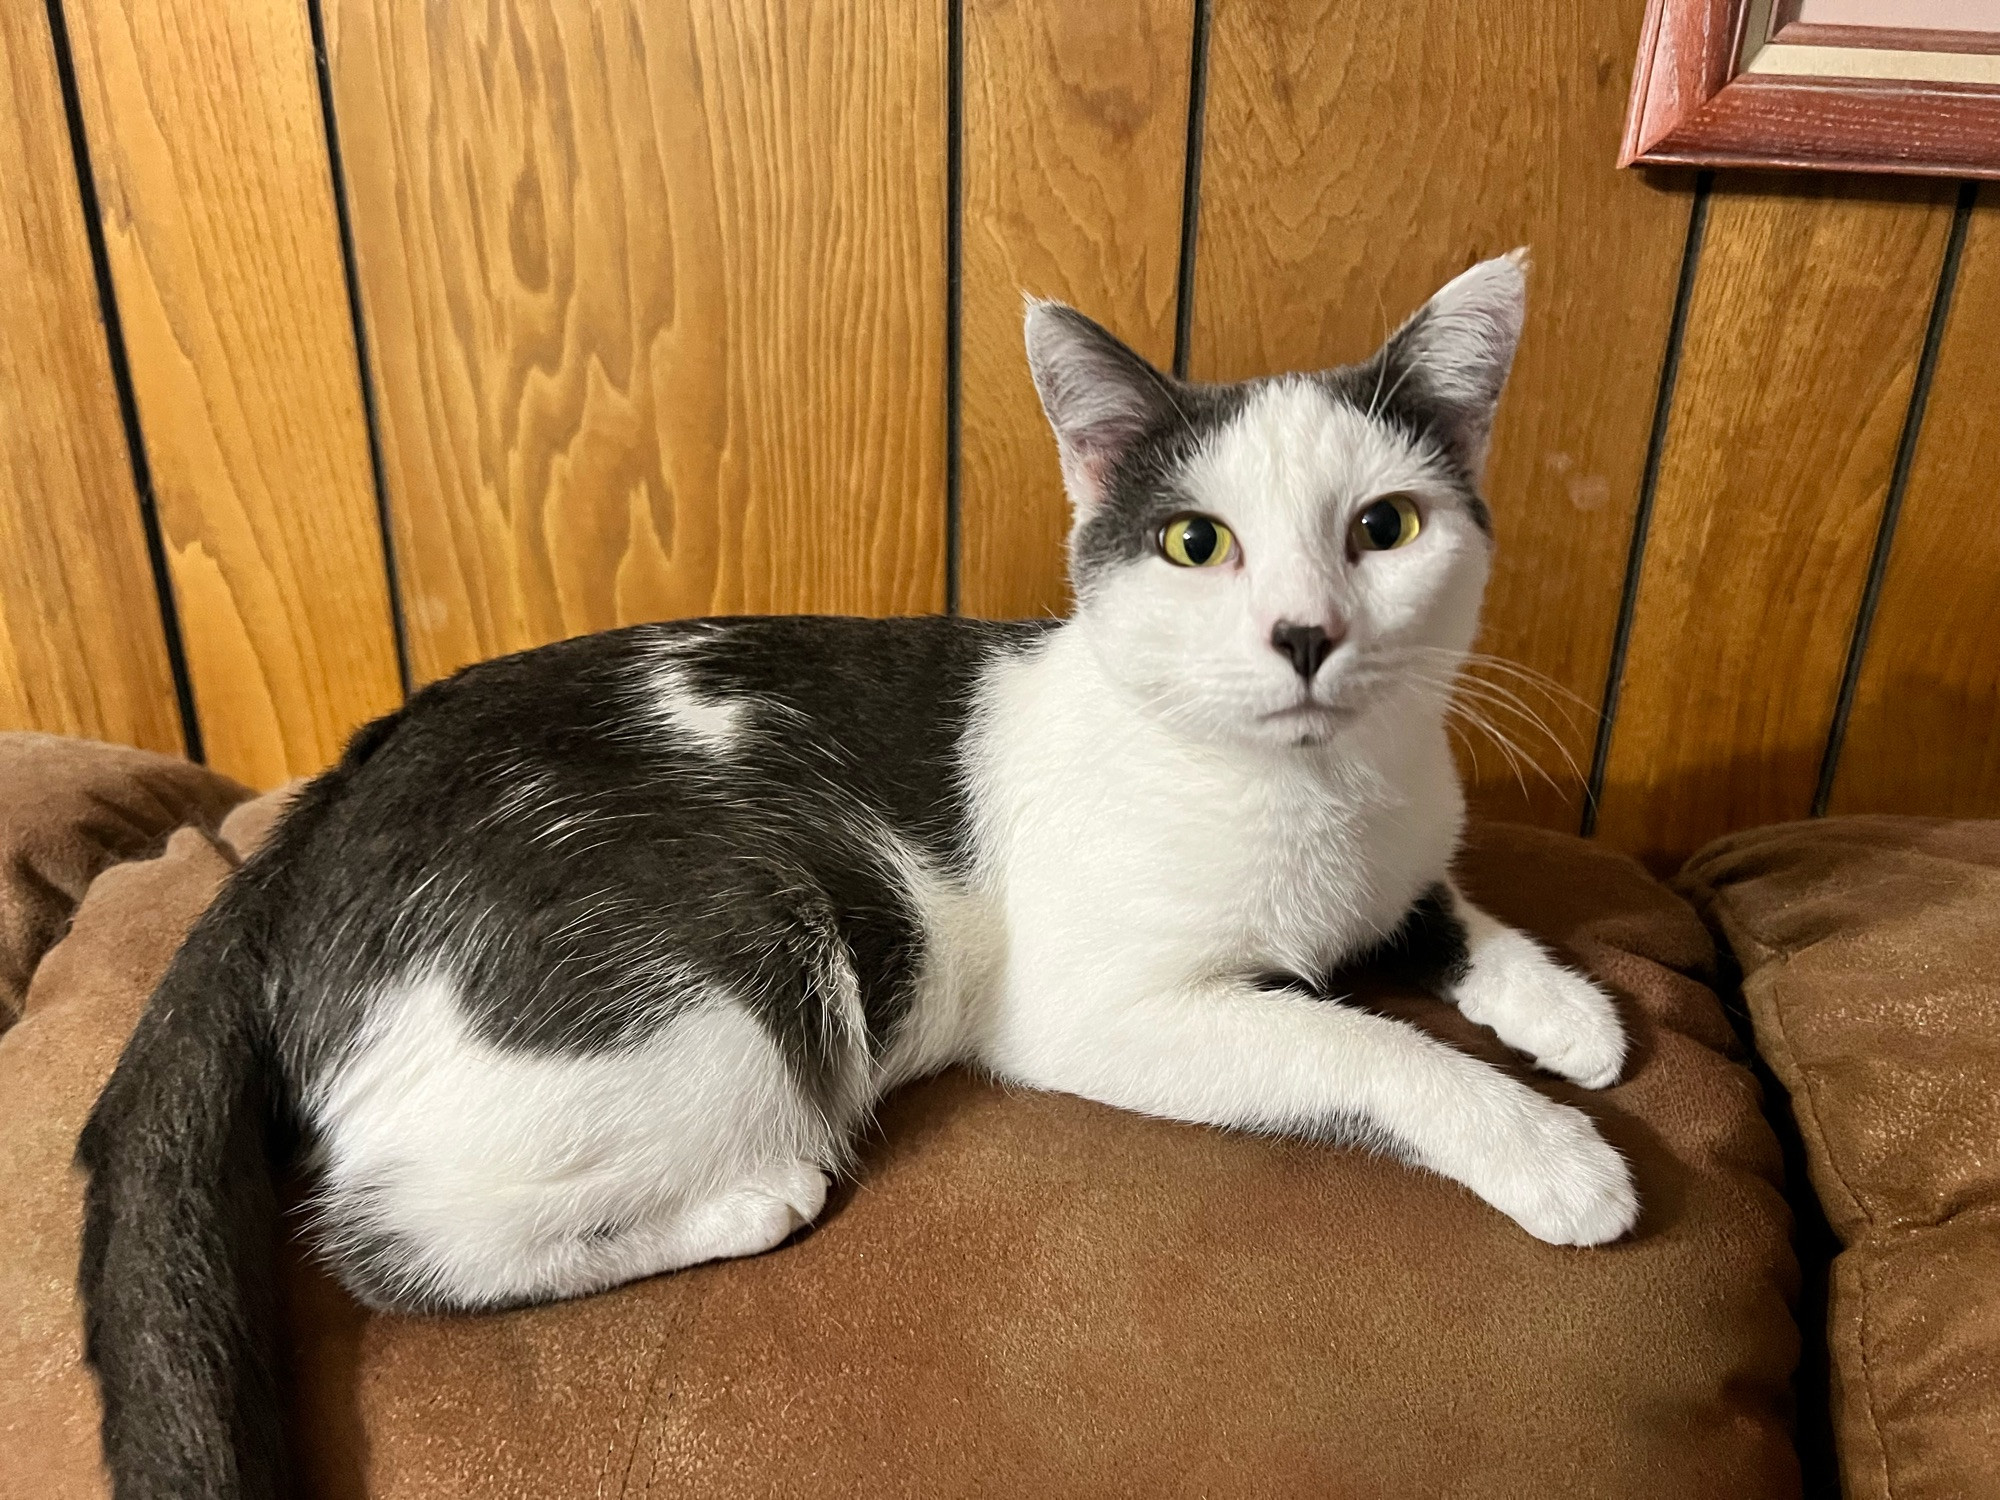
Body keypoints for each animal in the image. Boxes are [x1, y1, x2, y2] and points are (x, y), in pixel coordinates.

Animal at [82, 253, 1640, 1496]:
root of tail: (327, 810)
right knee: (401, 1241)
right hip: (736, 979)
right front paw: (1549, 1147)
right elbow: (1359, 1041)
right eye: (1197, 543)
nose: (1306, 635)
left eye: (1386, 527)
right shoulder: (1104, 1012)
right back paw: (737, 1206)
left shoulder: (1401, 854)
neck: (1321, 794)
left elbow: (1441, 912)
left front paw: (1568, 1009)